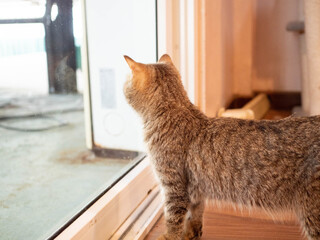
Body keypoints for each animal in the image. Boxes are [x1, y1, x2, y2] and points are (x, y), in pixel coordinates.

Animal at [123, 54, 320, 240]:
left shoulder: (173, 186)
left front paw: (168, 236)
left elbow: (173, 219)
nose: (123, 86)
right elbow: (195, 215)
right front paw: (191, 233)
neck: (177, 112)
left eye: (126, 82)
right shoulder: (194, 189)